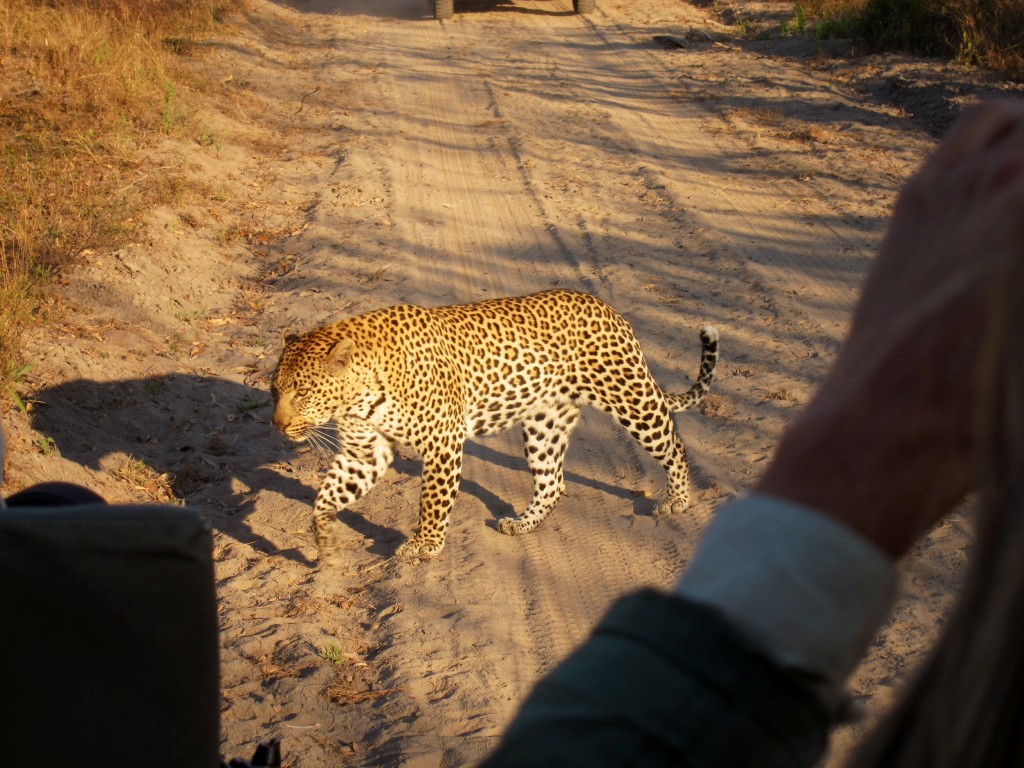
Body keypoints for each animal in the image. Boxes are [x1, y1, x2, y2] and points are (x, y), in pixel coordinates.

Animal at [272, 290, 720, 561]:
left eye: (303, 392)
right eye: (274, 389)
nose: (277, 425)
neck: (361, 392)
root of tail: (606, 307)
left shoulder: (442, 442)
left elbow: (432, 501)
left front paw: (425, 545)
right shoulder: (364, 452)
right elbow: (325, 498)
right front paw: (325, 542)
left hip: (630, 398)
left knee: (672, 444)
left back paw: (678, 499)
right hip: (544, 423)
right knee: (552, 481)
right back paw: (522, 524)